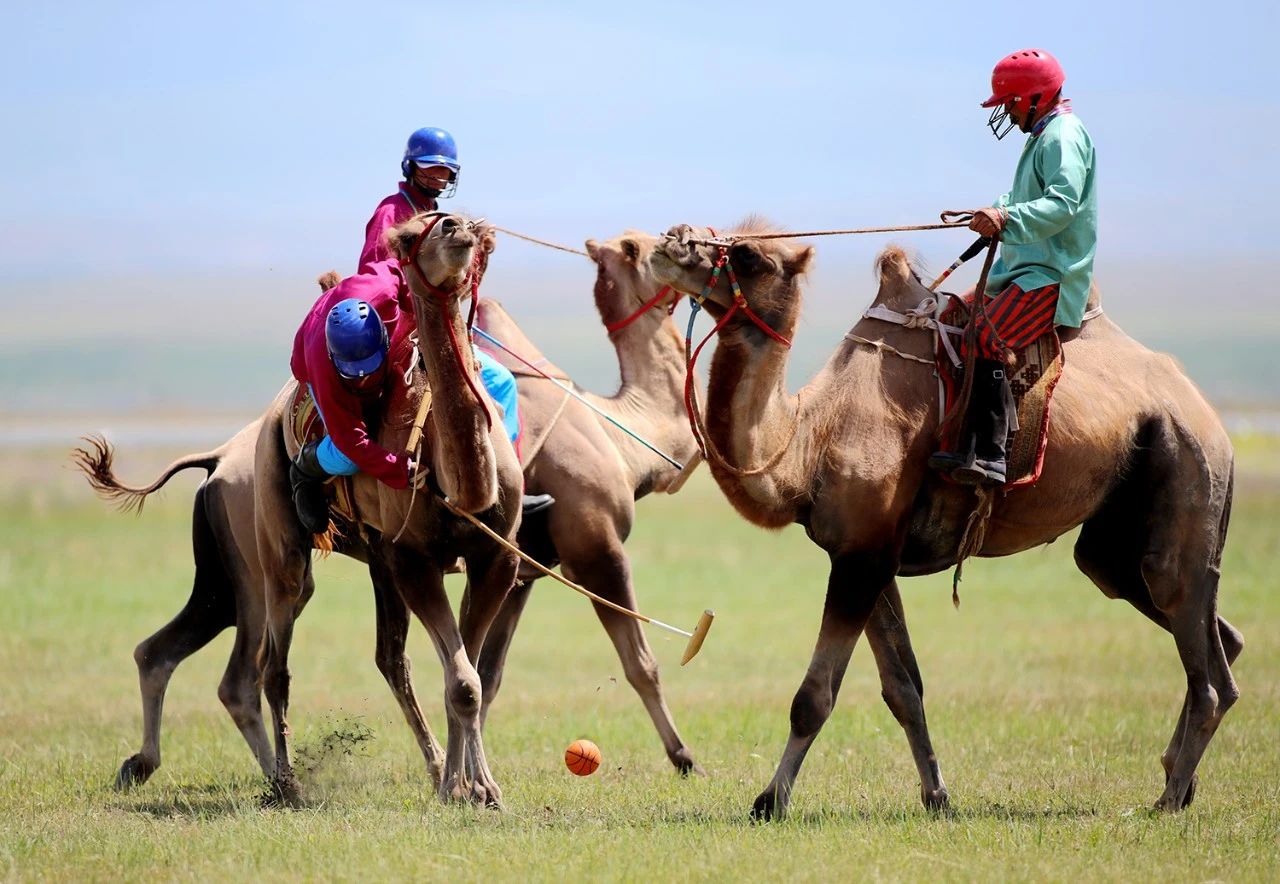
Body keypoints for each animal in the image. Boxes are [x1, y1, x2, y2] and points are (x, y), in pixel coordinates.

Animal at [650, 222, 1239, 823]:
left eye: (748, 255)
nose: (671, 240)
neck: (808, 440)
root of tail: (1207, 414)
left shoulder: (860, 560)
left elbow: (813, 699)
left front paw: (769, 801)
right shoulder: (867, 553)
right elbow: (903, 688)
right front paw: (937, 796)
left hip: (1188, 465)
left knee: (1196, 640)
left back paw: (1168, 798)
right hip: (1118, 531)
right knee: (1206, 630)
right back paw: (1179, 779)